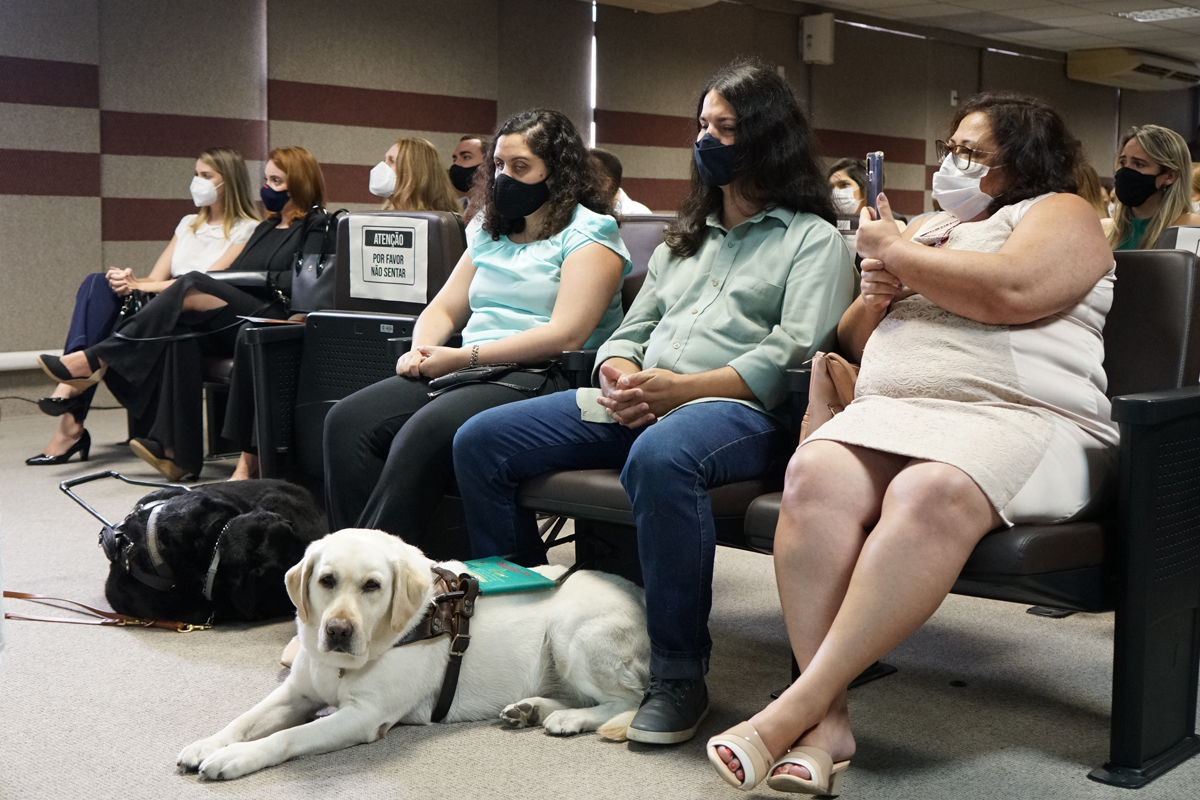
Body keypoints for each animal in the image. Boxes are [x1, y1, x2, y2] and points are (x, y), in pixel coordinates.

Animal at [175, 527, 652, 777]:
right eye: (326, 580)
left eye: (372, 586)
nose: (337, 630)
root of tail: (643, 595)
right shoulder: (298, 692)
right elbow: (245, 720)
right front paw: (208, 743)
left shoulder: (364, 716)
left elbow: (287, 736)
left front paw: (235, 757)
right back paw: (530, 709)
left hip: (571, 635)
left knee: (626, 700)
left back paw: (570, 719)